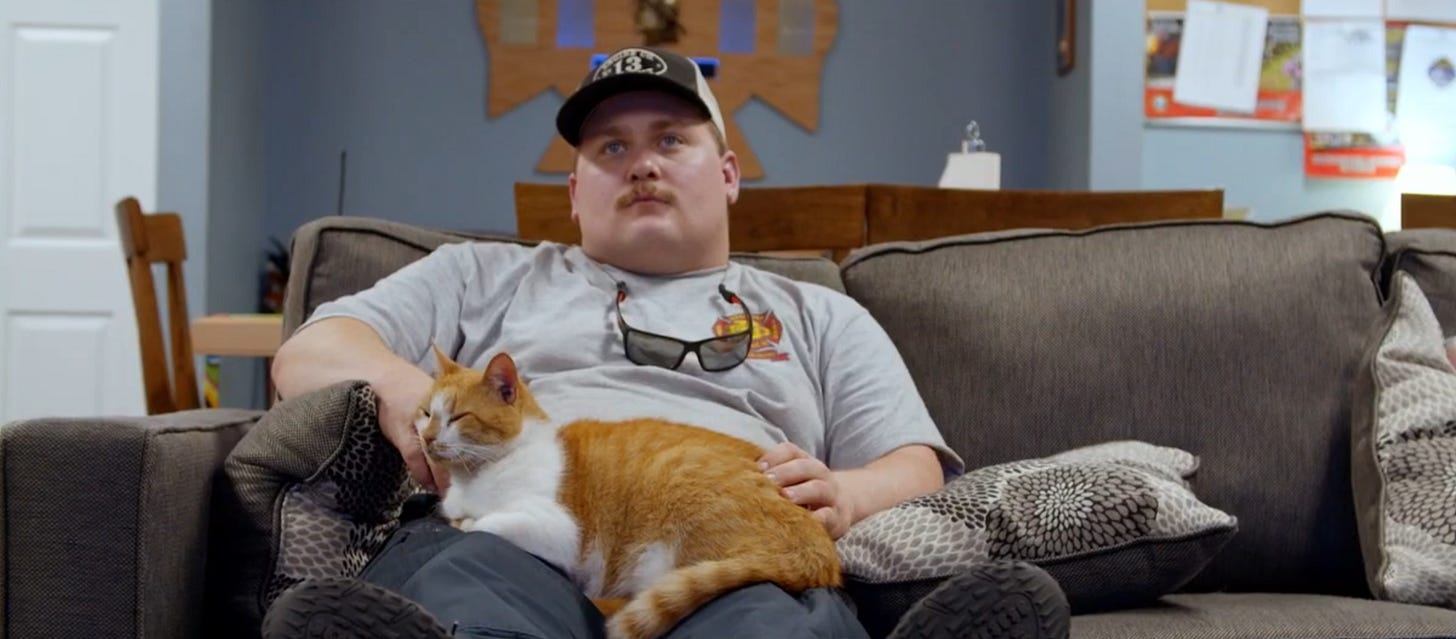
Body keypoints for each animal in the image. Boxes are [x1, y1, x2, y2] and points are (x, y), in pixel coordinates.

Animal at [410, 350, 844, 639]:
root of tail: (820, 553)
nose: (427, 438)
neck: (480, 476)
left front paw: (469, 521)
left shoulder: (561, 530)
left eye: (458, 417)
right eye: (425, 413)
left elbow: (487, 523)